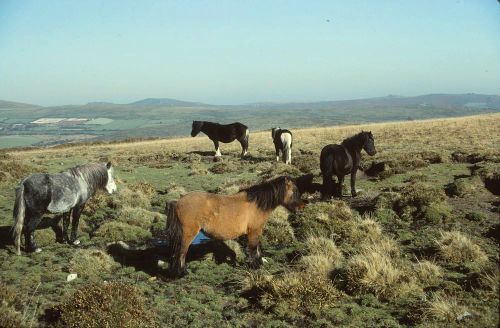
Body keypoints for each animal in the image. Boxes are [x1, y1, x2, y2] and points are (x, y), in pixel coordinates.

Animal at [166, 176, 302, 278]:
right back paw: (182, 273)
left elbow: (257, 248)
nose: (301, 208)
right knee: (181, 252)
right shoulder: (254, 231)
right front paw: (255, 266)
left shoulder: (256, 231)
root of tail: (178, 202)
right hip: (188, 234)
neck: (257, 204)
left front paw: (258, 263)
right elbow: (253, 249)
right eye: (294, 191)